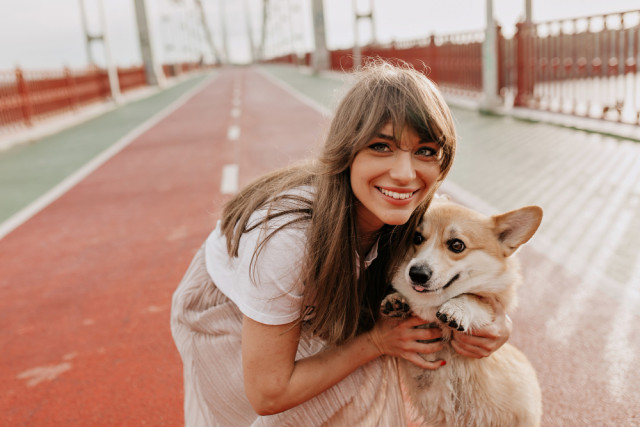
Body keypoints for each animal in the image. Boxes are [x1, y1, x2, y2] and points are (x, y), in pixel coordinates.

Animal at [382, 198, 544, 427]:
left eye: (457, 245)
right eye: (417, 237)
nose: (417, 274)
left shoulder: (490, 305)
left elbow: (472, 297)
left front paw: (455, 309)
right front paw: (395, 300)